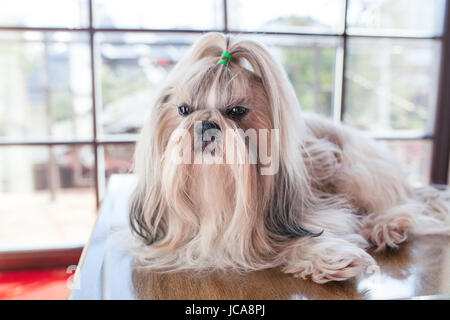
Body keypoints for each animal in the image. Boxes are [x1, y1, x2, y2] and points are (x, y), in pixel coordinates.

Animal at [128, 32, 448, 282]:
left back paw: (386, 227)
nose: (206, 124)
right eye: (184, 110)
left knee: (401, 204)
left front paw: (328, 255)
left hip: (356, 171)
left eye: (236, 111)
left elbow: (310, 235)